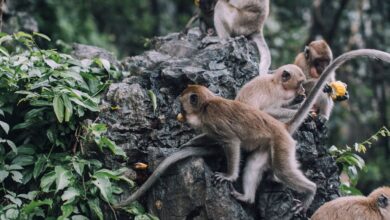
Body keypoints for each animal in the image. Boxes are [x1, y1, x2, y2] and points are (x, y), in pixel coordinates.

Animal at [116, 48, 390, 208]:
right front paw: (189, 144)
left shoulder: (215, 121)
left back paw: (309, 192)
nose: (178, 107)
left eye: (184, 100)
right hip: (266, 148)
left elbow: (232, 143)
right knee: (253, 166)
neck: (206, 106)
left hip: (281, 146)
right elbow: (211, 141)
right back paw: (245, 197)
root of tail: (284, 128)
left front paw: (227, 175)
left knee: (283, 169)